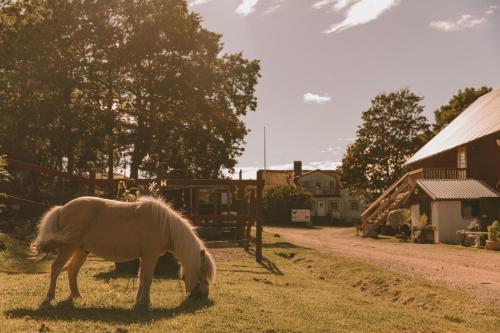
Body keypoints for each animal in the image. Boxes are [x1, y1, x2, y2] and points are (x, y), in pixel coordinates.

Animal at [30, 195, 216, 306]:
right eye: (202, 273)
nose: (204, 297)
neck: (165, 225)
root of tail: (62, 208)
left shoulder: (144, 257)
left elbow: (141, 278)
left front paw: (139, 300)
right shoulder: (150, 255)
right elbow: (147, 278)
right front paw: (146, 302)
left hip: (81, 250)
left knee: (72, 271)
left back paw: (77, 297)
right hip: (69, 248)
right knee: (56, 268)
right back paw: (50, 296)